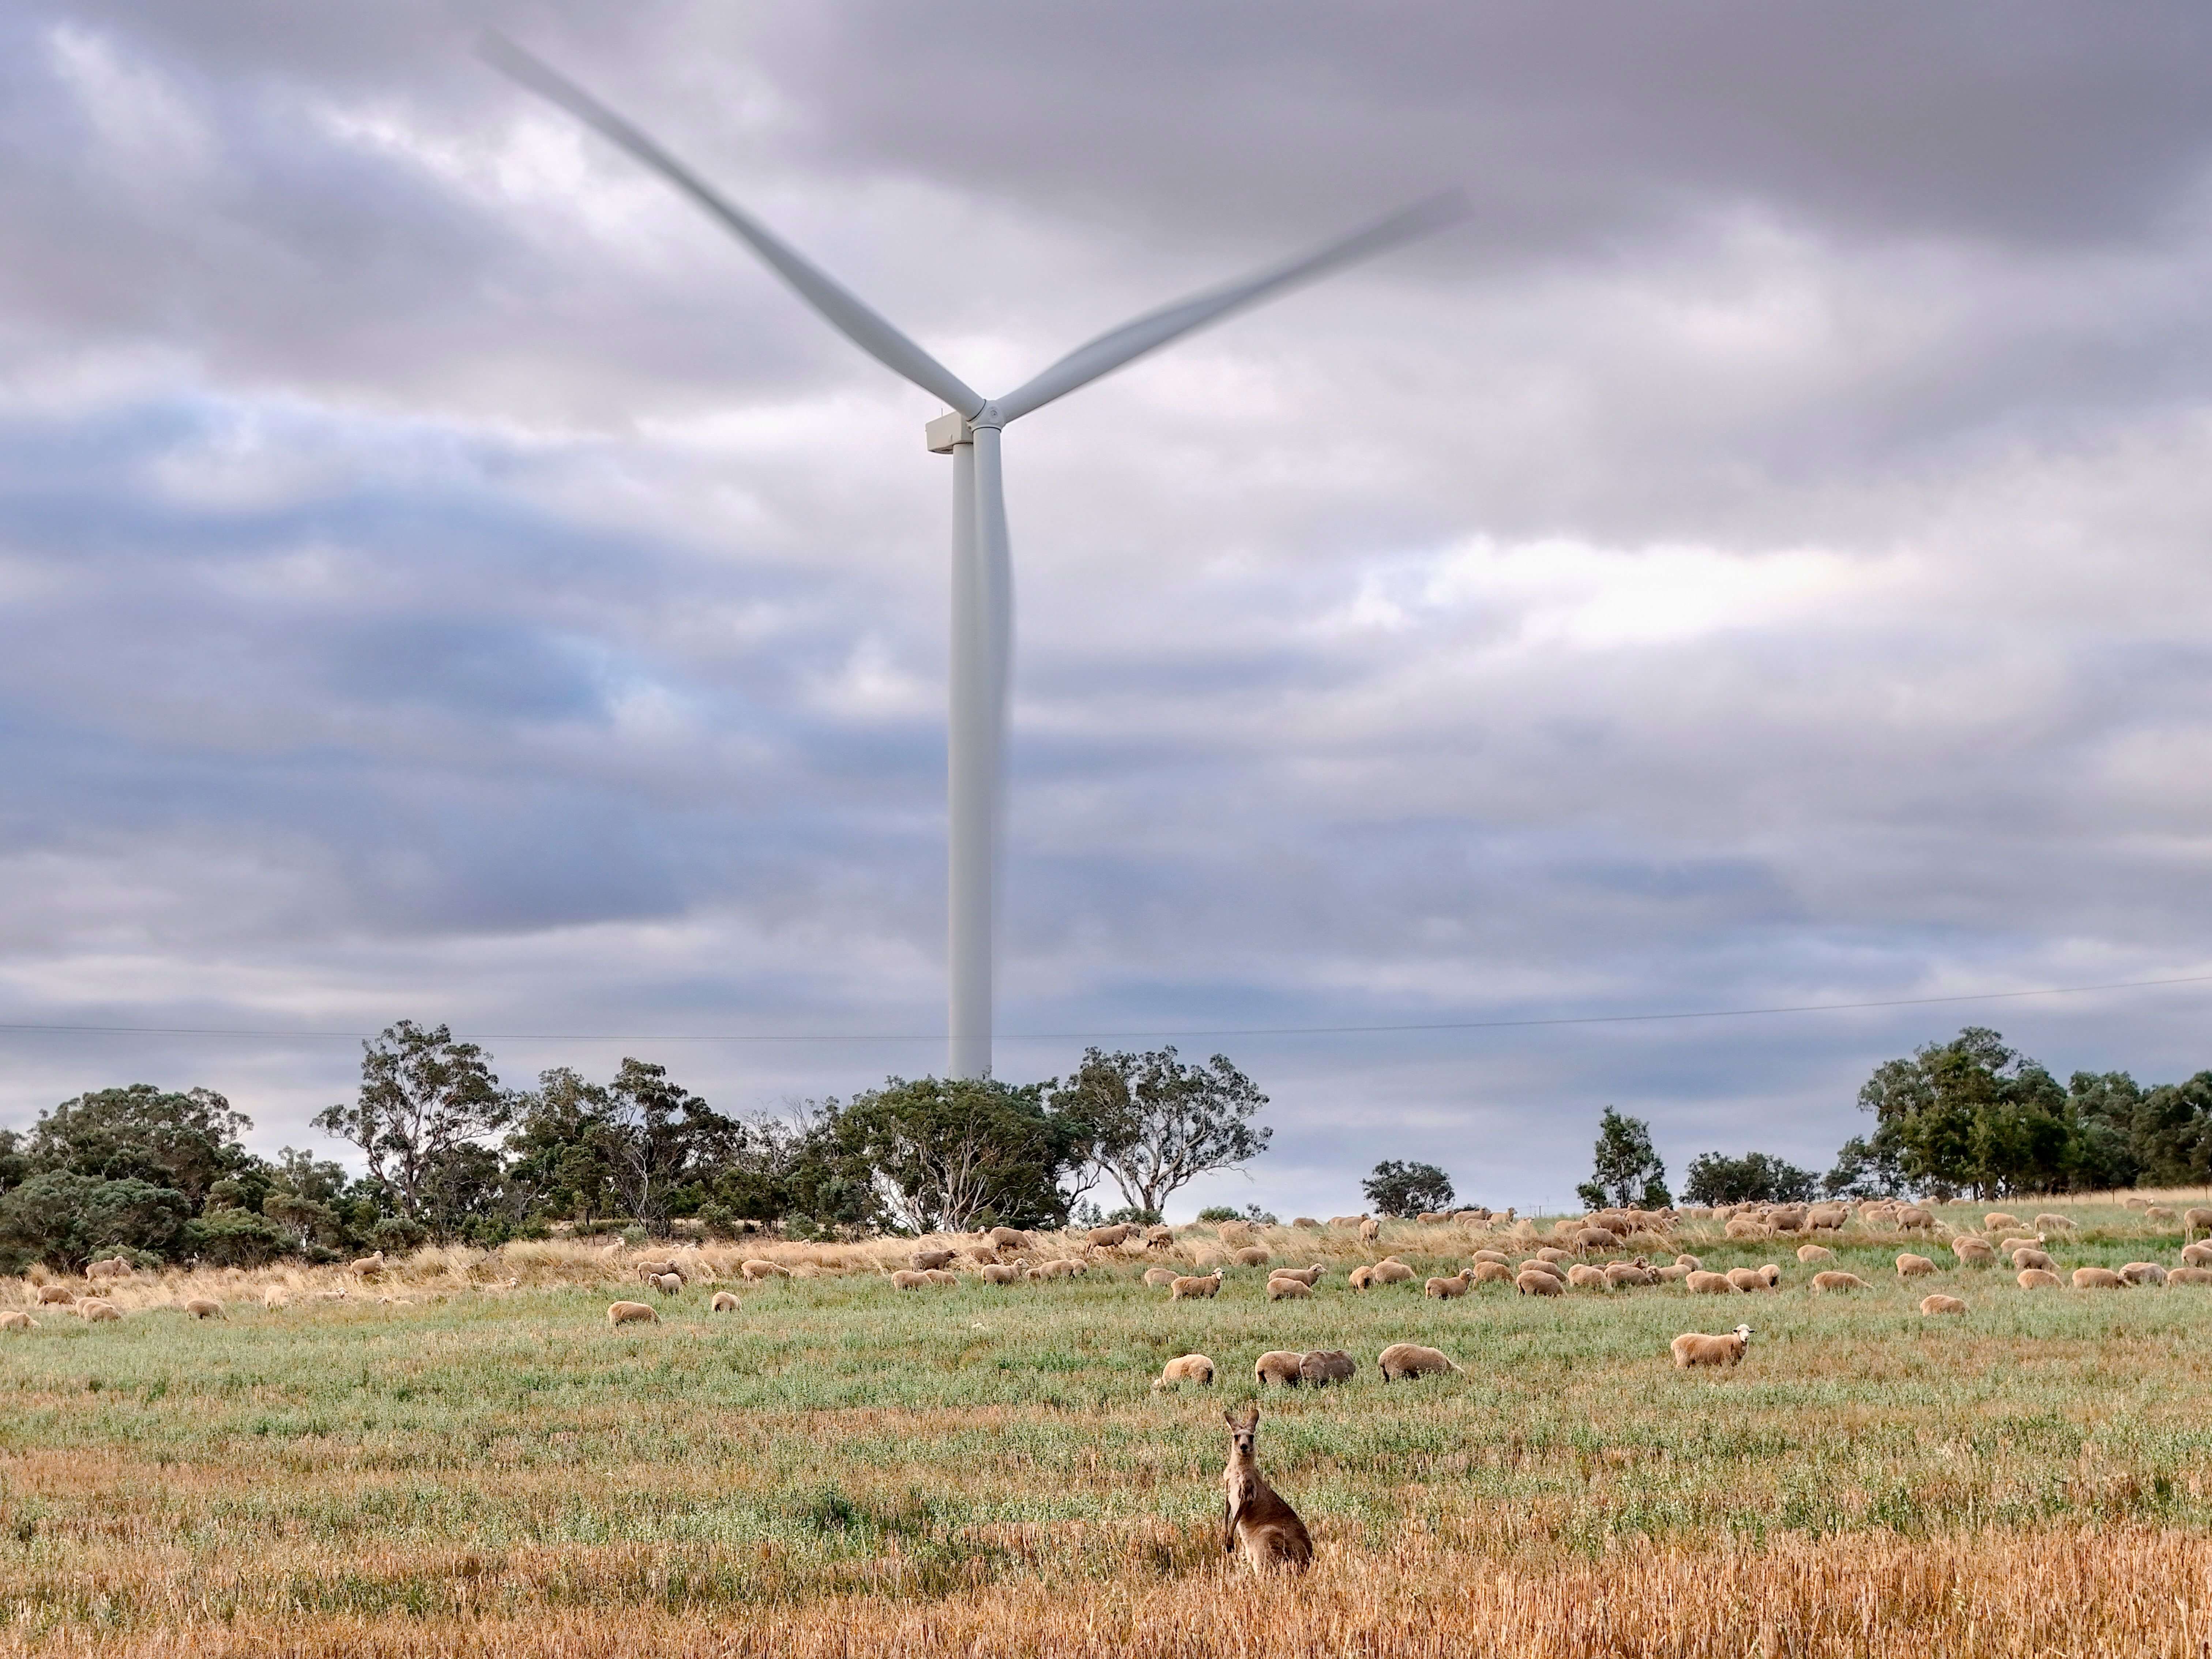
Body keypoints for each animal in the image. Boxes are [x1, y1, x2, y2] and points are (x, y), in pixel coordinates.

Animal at [1169, 1271, 1224, 1301]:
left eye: (1222, 1273)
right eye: (1216, 1273)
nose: (1221, 1277)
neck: (1212, 1280)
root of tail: (1173, 1283)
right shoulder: (1207, 1294)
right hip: (1178, 1292)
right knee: (1173, 1300)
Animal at [1669, 1323, 1753, 1368]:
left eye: (1749, 1331)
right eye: (1739, 1331)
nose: (1746, 1338)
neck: (1734, 1341)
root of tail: (1674, 1343)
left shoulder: (1735, 1363)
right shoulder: (1726, 1361)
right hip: (1683, 1359)